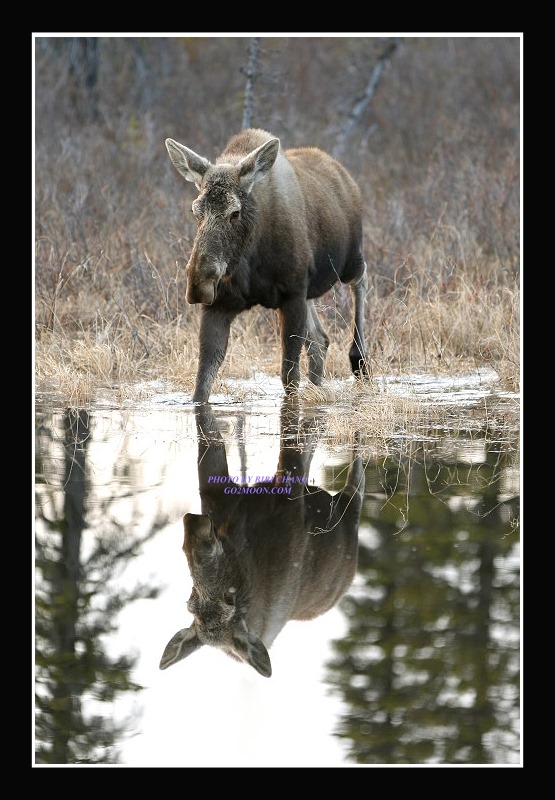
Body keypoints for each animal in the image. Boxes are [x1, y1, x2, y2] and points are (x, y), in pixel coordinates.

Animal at [165, 128, 369, 403]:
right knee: (320, 340)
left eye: (235, 212)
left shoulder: (292, 294)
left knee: (361, 280)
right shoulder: (220, 305)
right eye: (195, 211)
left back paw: (359, 359)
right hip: (311, 285)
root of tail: (346, 175)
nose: (199, 284)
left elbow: (289, 377)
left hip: (349, 261)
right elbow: (202, 384)